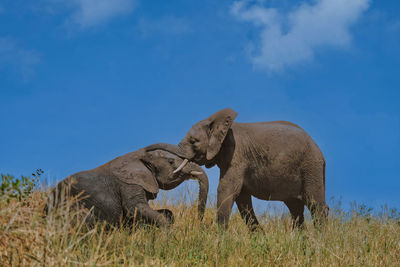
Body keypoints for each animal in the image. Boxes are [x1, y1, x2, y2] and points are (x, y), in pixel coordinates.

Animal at [47, 143, 209, 229]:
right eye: (170, 162)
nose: (199, 222)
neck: (138, 156)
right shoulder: (128, 184)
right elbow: (135, 209)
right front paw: (166, 237)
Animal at [150, 108, 328, 231]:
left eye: (194, 141)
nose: (198, 222)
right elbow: (242, 199)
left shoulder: (237, 155)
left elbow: (227, 190)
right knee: (296, 209)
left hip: (311, 168)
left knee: (315, 204)